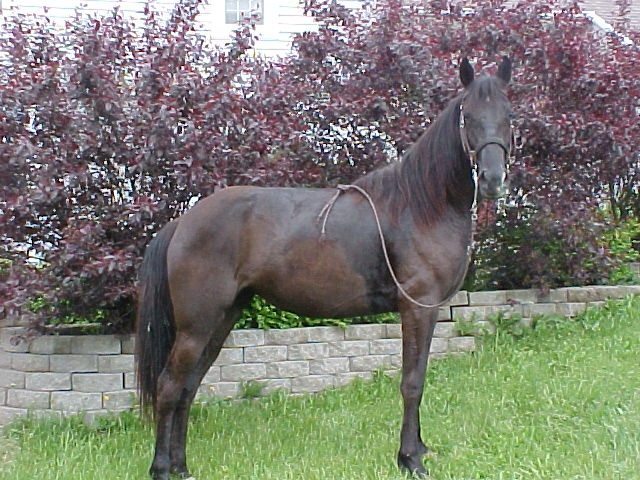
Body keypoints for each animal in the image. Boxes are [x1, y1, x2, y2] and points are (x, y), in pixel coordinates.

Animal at [136, 56, 513, 479]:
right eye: (469, 116)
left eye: (508, 115)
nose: (494, 180)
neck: (421, 205)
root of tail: (183, 222)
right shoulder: (418, 308)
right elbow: (412, 382)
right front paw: (410, 458)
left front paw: (416, 450)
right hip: (196, 325)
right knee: (170, 386)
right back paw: (162, 468)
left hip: (220, 320)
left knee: (188, 387)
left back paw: (181, 466)